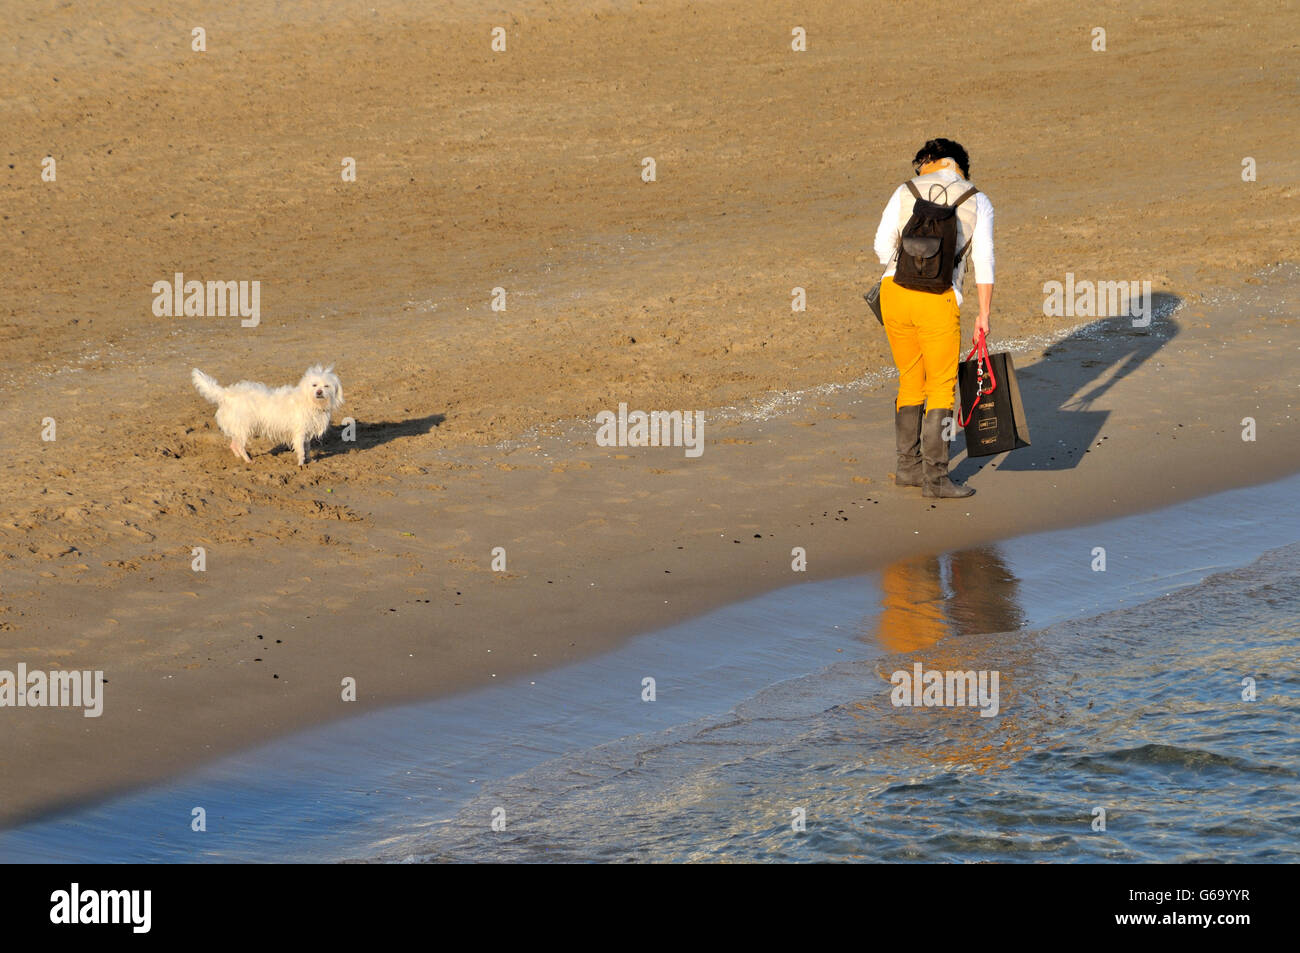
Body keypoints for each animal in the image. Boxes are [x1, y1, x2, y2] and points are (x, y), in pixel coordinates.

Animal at [191, 364, 345, 465]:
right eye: (314, 385)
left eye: (326, 386)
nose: (319, 392)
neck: (309, 401)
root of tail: (226, 394)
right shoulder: (299, 432)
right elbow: (301, 449)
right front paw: (301, 464)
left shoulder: (307, 432)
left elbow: (307, 448)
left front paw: (309, 460)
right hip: (244, 427)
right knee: (239, 445)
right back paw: (248, 460)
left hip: (238, 427)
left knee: (233, 444)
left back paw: (239, 458)